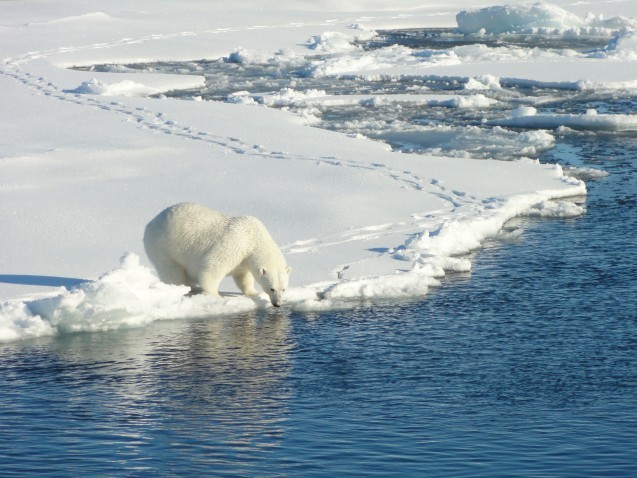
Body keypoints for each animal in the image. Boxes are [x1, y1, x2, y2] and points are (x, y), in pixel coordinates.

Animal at [143, 202, 290, 306]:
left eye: (283, 289)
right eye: (272, 289)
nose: (277, 304)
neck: (253, 237)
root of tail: (150, 224)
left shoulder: (243, 259)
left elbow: (243, 276)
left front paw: (253, 292)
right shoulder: (235, 243)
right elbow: (212, 267)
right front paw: (216, 295)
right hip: (163, 246)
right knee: (172, 272)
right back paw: (187, 288)